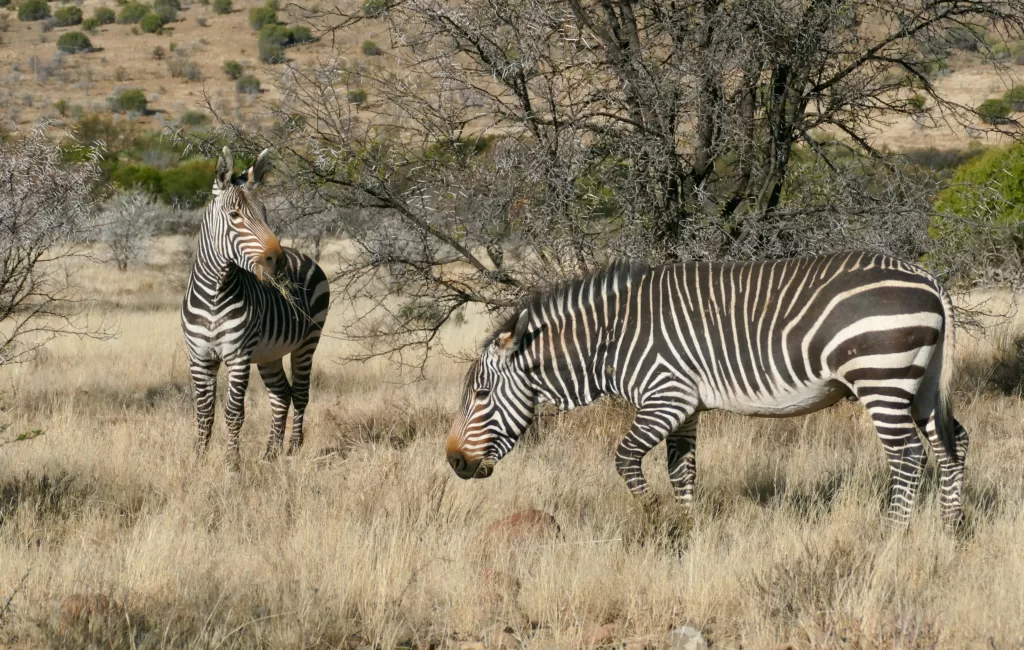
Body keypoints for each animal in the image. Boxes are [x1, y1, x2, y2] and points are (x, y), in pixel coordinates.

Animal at [180, 147, 329, 468]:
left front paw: (232, 465)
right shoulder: (199, 357)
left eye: (265, 214)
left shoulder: (238, 355)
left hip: (308, 342)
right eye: (235, 216)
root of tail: (302, 254)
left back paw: (292, 449)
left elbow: (234, 414)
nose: (278, 260)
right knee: (281, 394)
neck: (214, 295)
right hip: (269, 353)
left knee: (300, 393)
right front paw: (199, 461)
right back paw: (270, 454)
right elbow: (204, 413)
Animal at [446, 252, 966, 528]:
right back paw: (951, 528)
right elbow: (682, 472)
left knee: (908, 457)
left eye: (481, 395)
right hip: (920, 384)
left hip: (881, 378)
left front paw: (655, 520)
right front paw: (685, 530)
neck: (611, 339)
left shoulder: (666, 396)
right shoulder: (685, 408)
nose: (454, 462)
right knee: (953, 444)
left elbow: (625, 459)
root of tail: (928, 278)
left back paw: (892, 533)